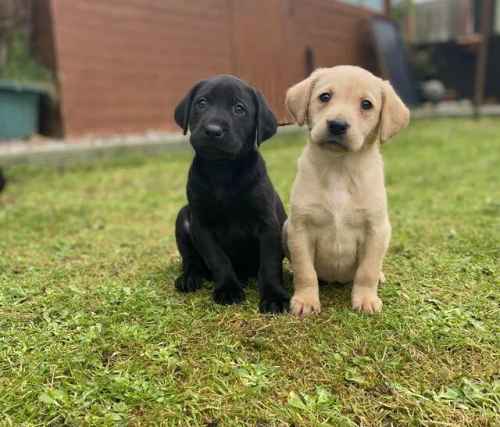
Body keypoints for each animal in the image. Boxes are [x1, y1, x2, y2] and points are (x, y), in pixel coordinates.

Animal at [174, 75, 290, 312]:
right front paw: (227, 289)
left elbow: (270, 263)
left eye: (239, 108)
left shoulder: (268, 224)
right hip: (183, 218)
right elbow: (218, 259)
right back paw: (190, 278)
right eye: (202, 103)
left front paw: (274, 296)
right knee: (191, 260)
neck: (223, 170)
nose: (212, 130)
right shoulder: (201, 225)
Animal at [284, 65, 408, 316]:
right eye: (324, 97)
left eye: (366, 104)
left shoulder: (376, 230)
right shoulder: (299, 228)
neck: (339, 169)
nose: (337, 125)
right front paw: (305, 300)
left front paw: (366, 299)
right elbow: (305, 271)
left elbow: (367, 271)